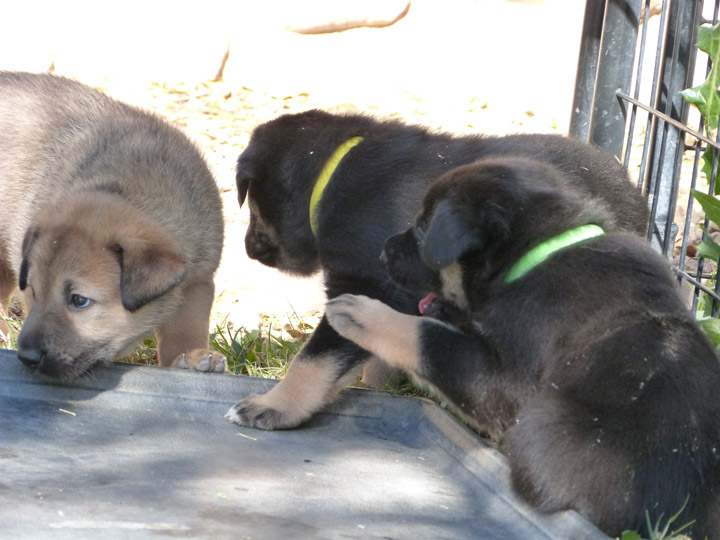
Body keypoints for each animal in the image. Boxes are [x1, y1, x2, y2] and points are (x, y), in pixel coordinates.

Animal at [0, 71, 225, 380]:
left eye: (79, 300)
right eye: (34, 291)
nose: (27, 357)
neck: (131, 187)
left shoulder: (198, 281)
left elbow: (185, 329)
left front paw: (190, 357)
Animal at [228, 110, 648, 430]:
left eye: (253, 207)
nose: (248, 249)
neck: (330, 175)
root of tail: (634, 197)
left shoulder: (366, 283)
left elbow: (313, 360)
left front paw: (273, 406)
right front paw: (378, 386)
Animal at [324, 155, 720, 536]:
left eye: (423, 228)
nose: (382, 253)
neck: (537, 255)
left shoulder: (502, 382)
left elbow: (431, 340)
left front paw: (361, 314)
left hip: (542, 419)